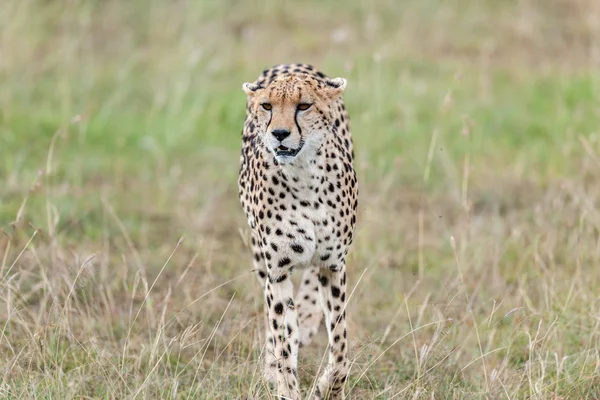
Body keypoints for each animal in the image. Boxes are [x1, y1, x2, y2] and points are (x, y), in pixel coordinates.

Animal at [238, 64, 358, 398]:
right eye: (267, 106)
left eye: (303, 106)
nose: (279, 134)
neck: (304, 176)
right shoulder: (277, 269)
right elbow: (281, 338)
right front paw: (285, 386)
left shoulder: (334, 264)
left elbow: (341, 345)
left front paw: (328, 388)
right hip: (261, 257)